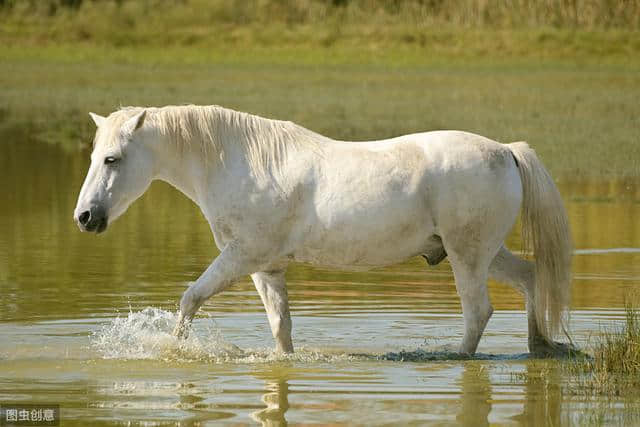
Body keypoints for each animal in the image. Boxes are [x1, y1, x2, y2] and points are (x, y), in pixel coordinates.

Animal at [72, 105, 572, 356]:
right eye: (94, 155)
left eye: (112, 159)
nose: (85, 217)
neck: (241, 162)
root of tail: (506, 151)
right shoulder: (267, 269)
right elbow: (281, 330)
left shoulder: (242, 257)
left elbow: (189, 299)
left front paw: (174, 353)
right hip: (484, 252)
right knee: (531, 279)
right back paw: (540, 347)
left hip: (468, 257)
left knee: (478, 313)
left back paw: (454, 356)